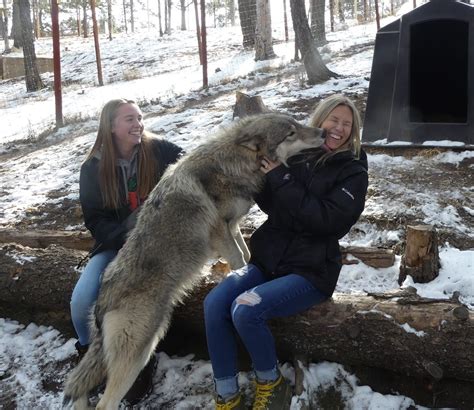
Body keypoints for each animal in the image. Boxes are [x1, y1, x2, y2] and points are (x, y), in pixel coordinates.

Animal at [63, 113, 326, 410]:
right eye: (290, 133)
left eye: (297, 124)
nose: (323, 133)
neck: (232, 164)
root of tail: (103, 297)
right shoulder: (220, 232)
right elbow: (239, 261)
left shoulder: (233, 227)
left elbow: (246, 255)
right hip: (137, 354)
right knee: (104, 403)